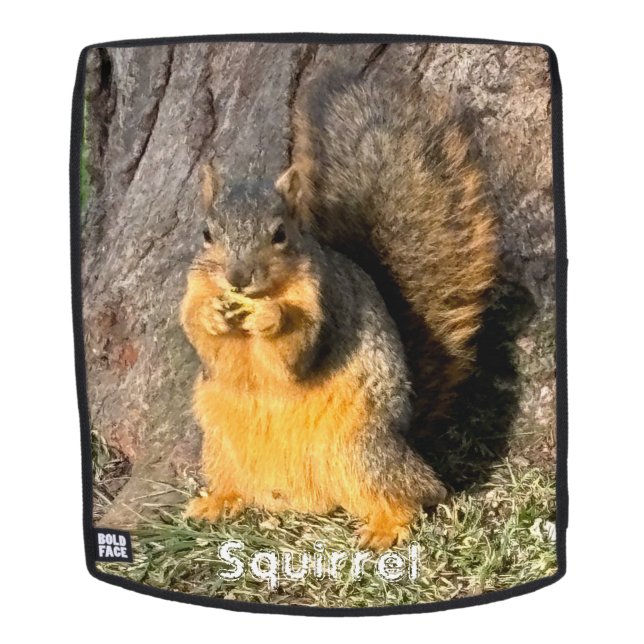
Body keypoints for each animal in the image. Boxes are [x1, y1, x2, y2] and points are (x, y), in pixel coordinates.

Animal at [181, 165, 446, 551]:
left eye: (280, 235)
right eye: (206, 233)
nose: (238, 278)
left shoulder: (323, 300)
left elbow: (294, 353)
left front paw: (272, 317)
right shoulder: (195, 290)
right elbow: (207, 344)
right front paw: (210, 317)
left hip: (360, 450)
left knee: (409, 495)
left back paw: (387, 526)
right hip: (219, 446)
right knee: (234, 483)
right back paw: (218, 501)